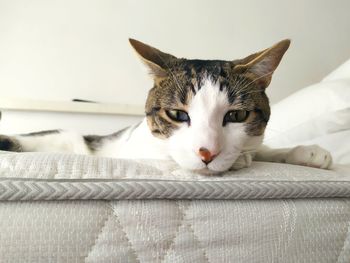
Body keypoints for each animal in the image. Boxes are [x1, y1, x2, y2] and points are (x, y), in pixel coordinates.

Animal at [0, 38, 332, 174]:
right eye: (176, 114)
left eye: (237, 115)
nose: (208, 153)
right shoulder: (132, 148)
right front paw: (239, 160)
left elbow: (261, 148)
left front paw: (305, 152)